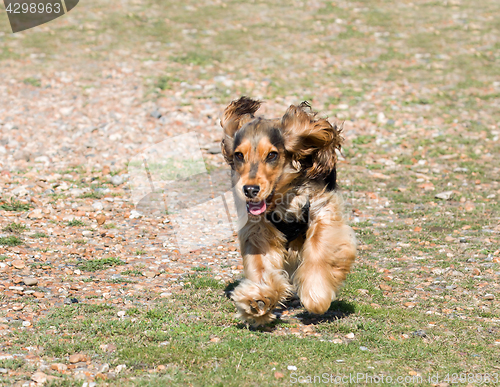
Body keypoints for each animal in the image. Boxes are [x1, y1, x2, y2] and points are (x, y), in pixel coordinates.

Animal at [221, 97, 358, 328]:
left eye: (272, 155)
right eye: (239, 155)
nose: (250, 190)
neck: (283, 196)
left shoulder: (323, 209)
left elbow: (320, 247)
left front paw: (316, 294)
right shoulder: (258, 229)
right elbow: (261, 265)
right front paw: (257, 299)